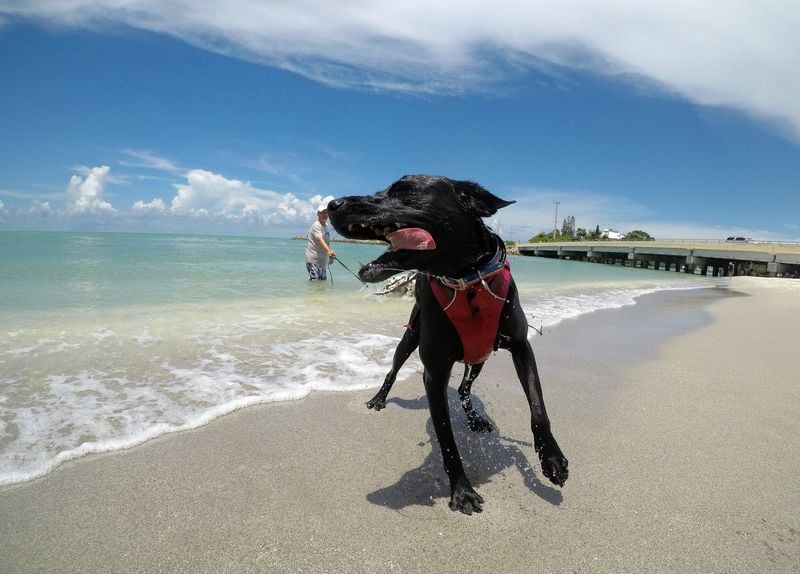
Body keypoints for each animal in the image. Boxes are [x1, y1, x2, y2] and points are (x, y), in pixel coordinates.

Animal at [326, 177, 568, 516]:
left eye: (403, 190)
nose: (331, 205)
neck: (468, 281)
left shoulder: (521, 347)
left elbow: (538, 408)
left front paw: (552, 459)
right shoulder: (435, 372)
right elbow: (446, 438)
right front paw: (462, 490)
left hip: (478, 357)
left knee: (465, 388)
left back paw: (475, 418)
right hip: (411, 338)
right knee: (392, 371)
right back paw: (378, 399)